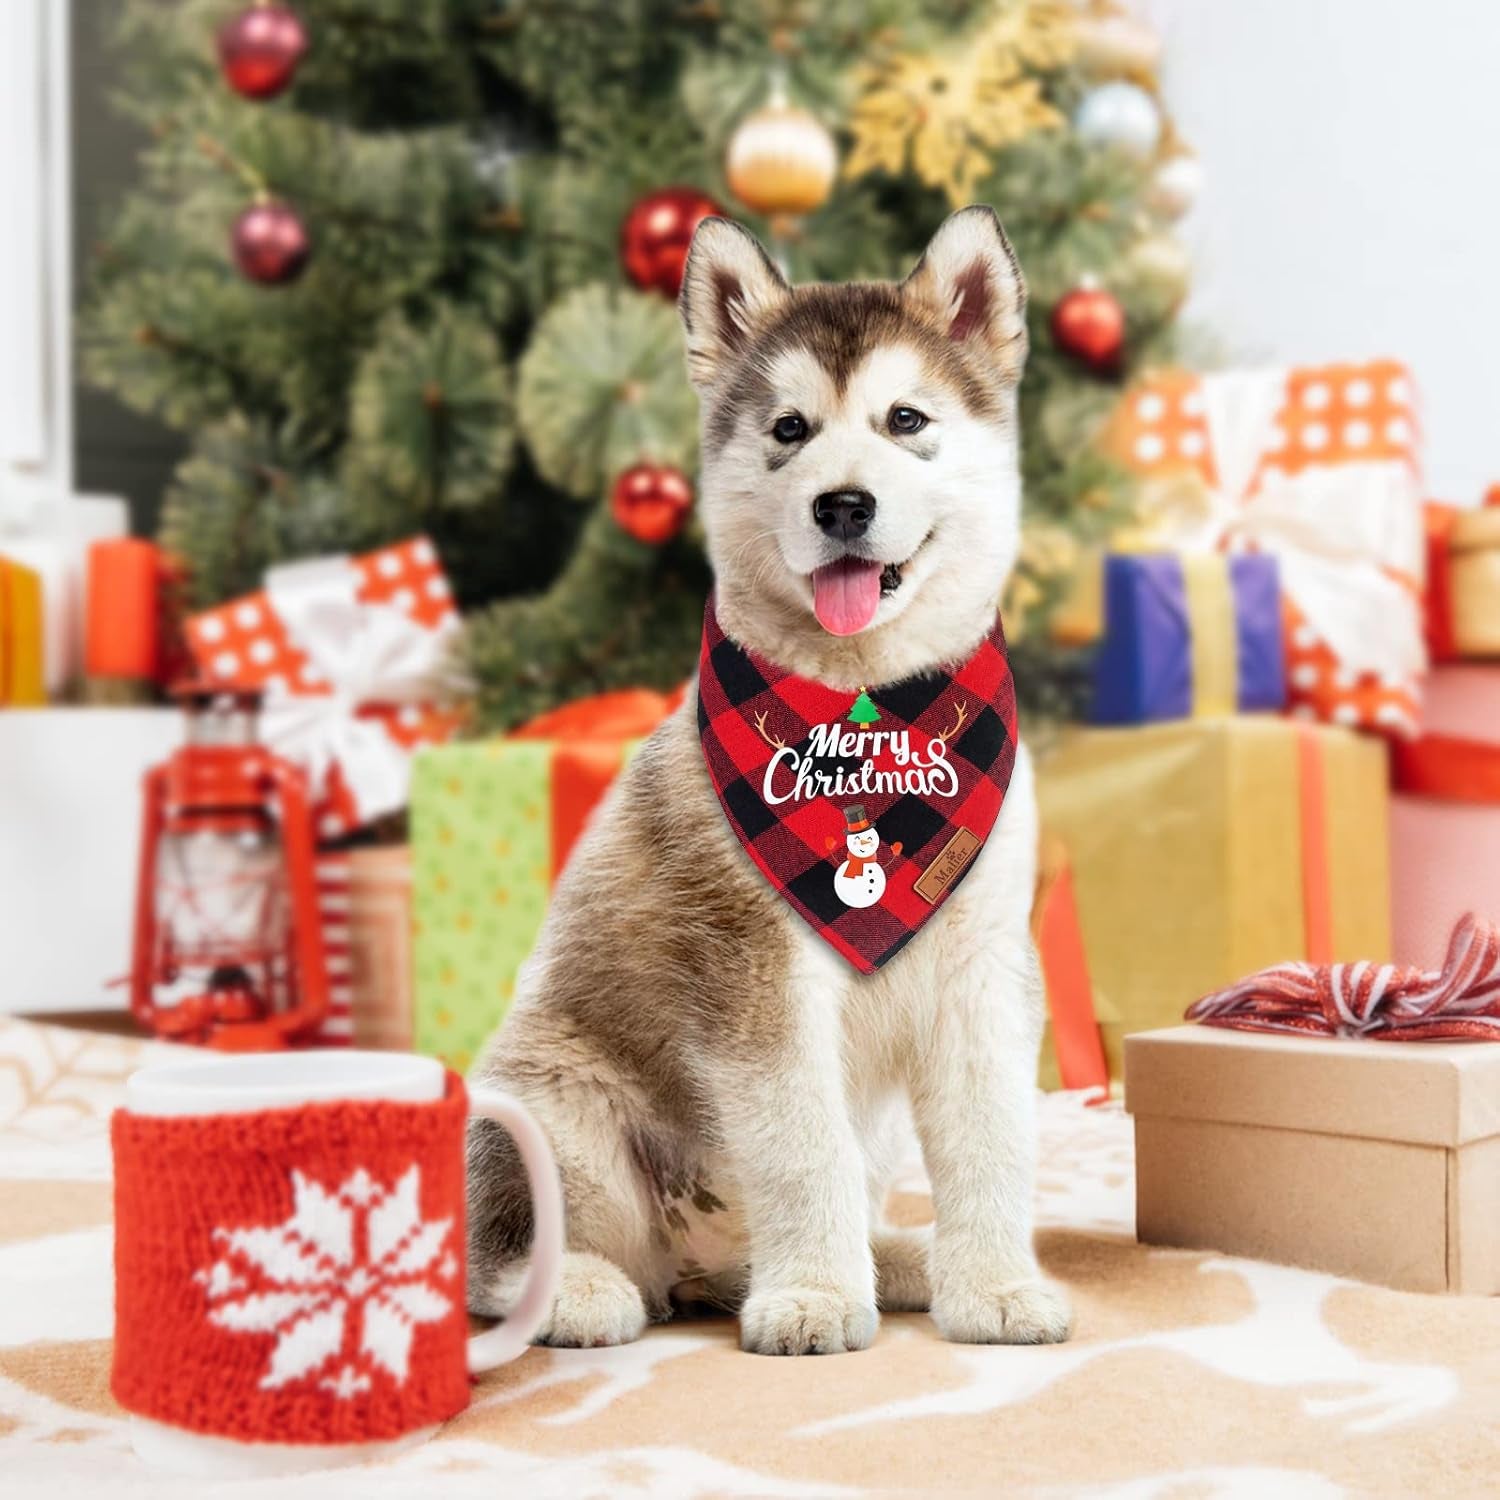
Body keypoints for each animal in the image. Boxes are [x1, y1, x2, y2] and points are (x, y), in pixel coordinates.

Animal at [465, 205, 1068, 1356]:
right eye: (789, 429)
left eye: (905, 418)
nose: (843, 504)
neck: (867, 714)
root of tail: (692, 1263)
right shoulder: (755, 975)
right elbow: (800, 1146)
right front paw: (819, 1299)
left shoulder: (980, 965)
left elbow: (995, 1137)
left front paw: (993, 1286)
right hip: (550, 1102)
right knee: (500, 1248)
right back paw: (583, 1292)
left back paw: (892, 1262)